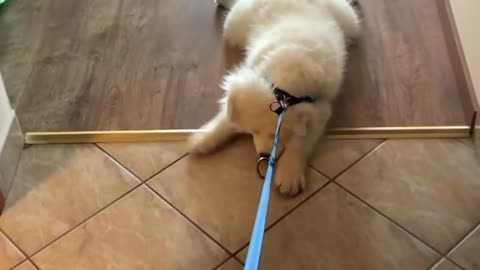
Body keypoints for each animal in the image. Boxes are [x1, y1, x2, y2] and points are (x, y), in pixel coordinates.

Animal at [190, 0, 360, 195]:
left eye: (276, 137)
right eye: (253, 131)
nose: (263, 155)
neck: (285, 85)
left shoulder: (320, 109)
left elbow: (300, 142)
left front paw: (289, 175)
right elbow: (227, 118)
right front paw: (204, 138)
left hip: (349, 20)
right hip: (234, 23)